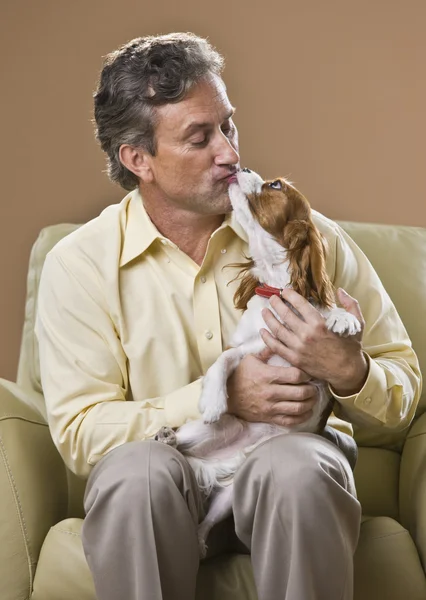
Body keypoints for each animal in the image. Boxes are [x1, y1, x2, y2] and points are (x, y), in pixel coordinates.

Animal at [155, 166, 362, 556]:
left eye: (275, 186)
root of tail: (228, 464)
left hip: (229, 498)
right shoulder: (253, 345)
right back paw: (166, 439)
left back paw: (200, 542)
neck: (278, 286)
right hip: (204, 433)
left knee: (207, 519)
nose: (241, 167)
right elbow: (224, 358)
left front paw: (342, 318)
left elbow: (328, 312)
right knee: (184, 448)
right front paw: (213, 399)